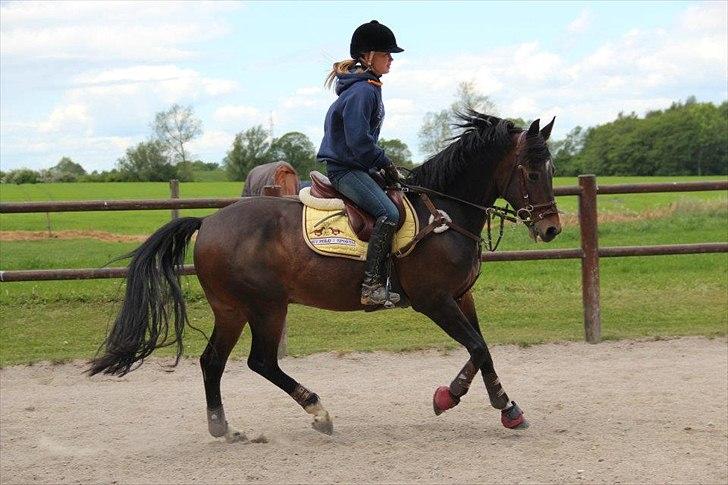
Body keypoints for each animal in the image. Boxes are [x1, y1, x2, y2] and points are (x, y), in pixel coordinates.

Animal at [89, 112, 562, 441]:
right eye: (531, 171)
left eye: (552, 171)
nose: (551, 228)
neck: (444, 213)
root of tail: (208, 222)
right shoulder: (435, 301)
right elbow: (478, 347)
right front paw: (456, 399)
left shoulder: (461, 296)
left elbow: (483, 350)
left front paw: (503, 407)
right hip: (265, 306)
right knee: (260, 361)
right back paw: (319, 413)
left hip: (233, 309)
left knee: (213, 362)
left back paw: (226, 429)